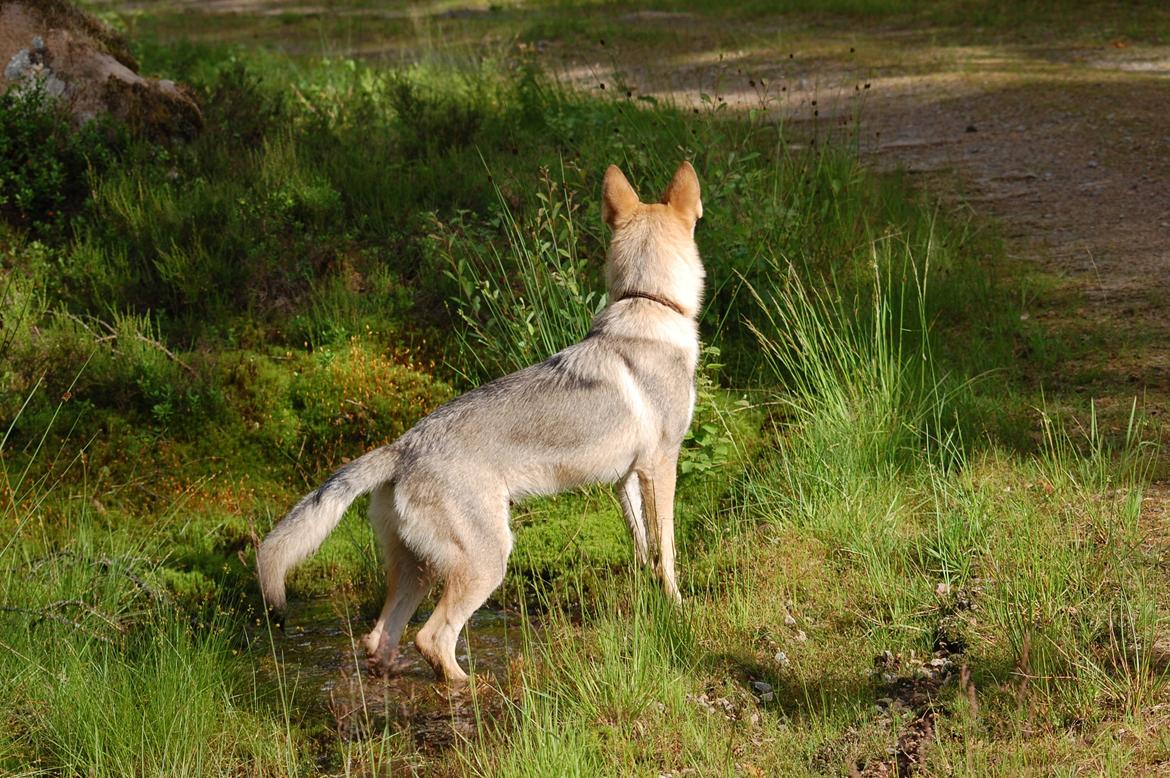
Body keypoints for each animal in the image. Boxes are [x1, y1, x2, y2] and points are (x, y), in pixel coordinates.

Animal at [258, 159, 702, 678]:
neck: (647, 302)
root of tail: (402, 447)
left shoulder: (625, 478)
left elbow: (642, 549)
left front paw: (649, 598)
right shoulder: (660, 466)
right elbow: (666, 549)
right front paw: (677, 606)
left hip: (419, 571)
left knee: (380, 638)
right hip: (488, 564)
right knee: (431, 638)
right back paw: (469, 683)